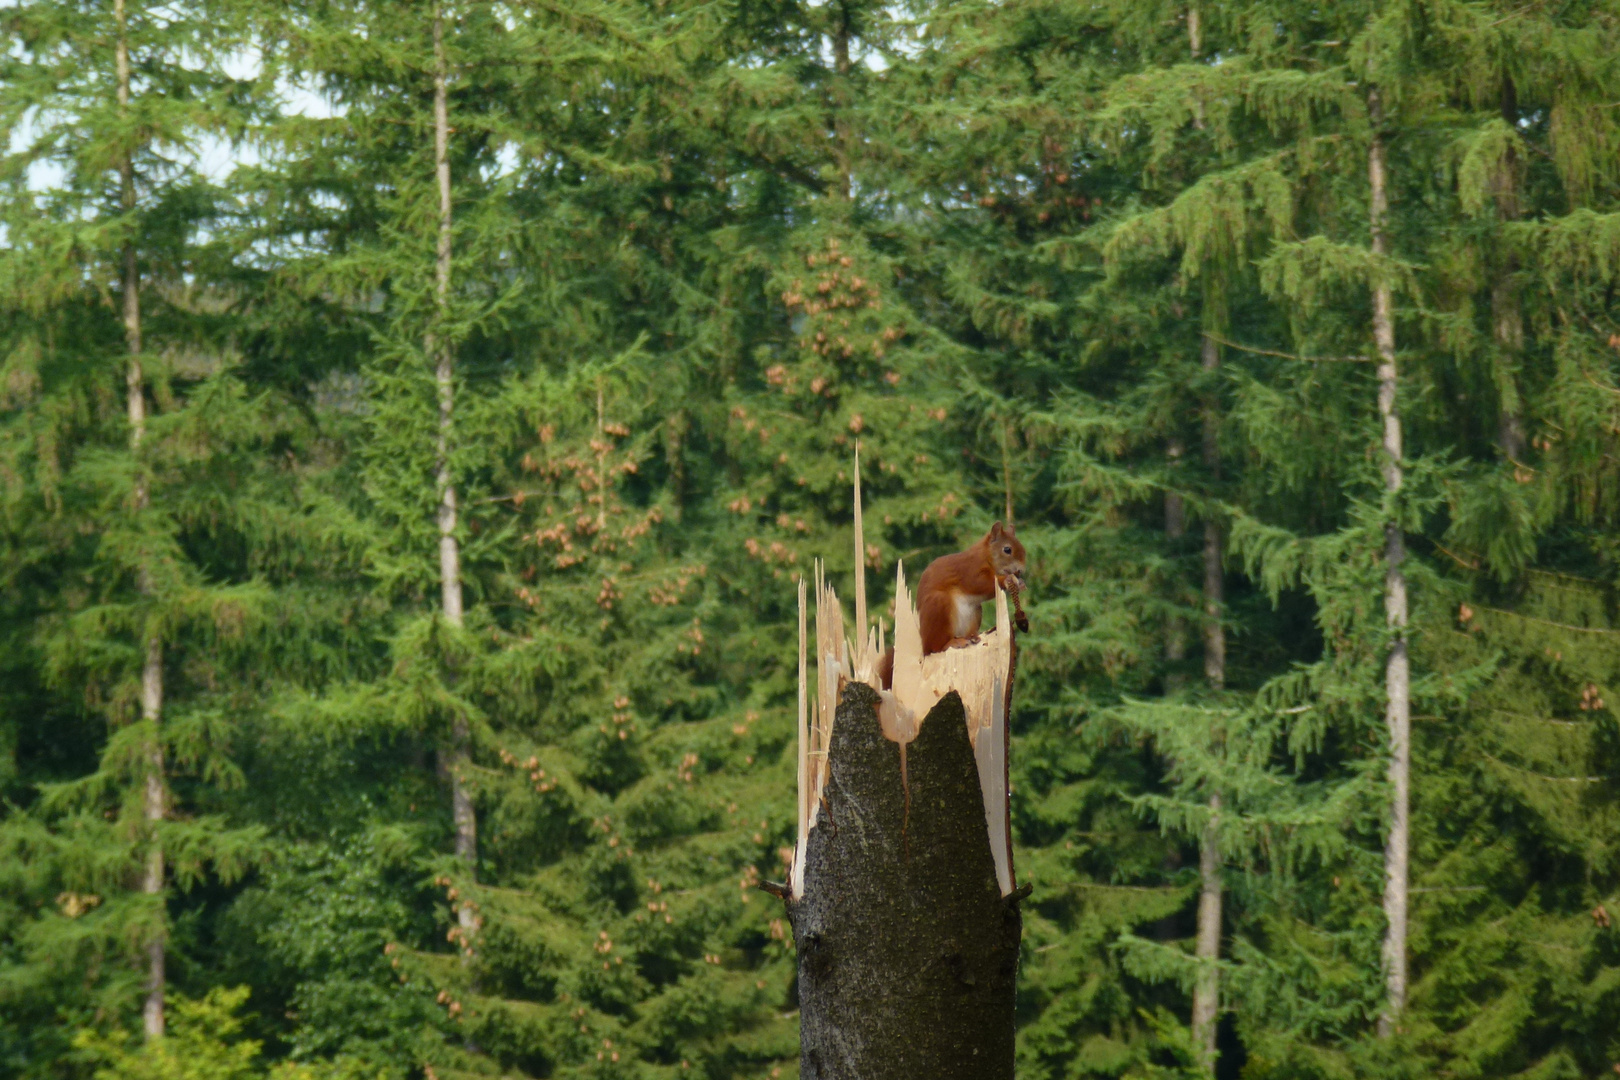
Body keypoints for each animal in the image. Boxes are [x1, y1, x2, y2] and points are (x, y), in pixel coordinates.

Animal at [881, 524, 1030, 693]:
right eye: (1007, 549)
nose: (1020, 570)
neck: (985, 556)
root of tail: (923, 642)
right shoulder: (969, 570)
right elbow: (980, 584)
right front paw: (1007, 580)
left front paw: (1021, 583)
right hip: (939, 606)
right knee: (934, 648)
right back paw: (951, 643)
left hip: (974, 612)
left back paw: (972, 637)